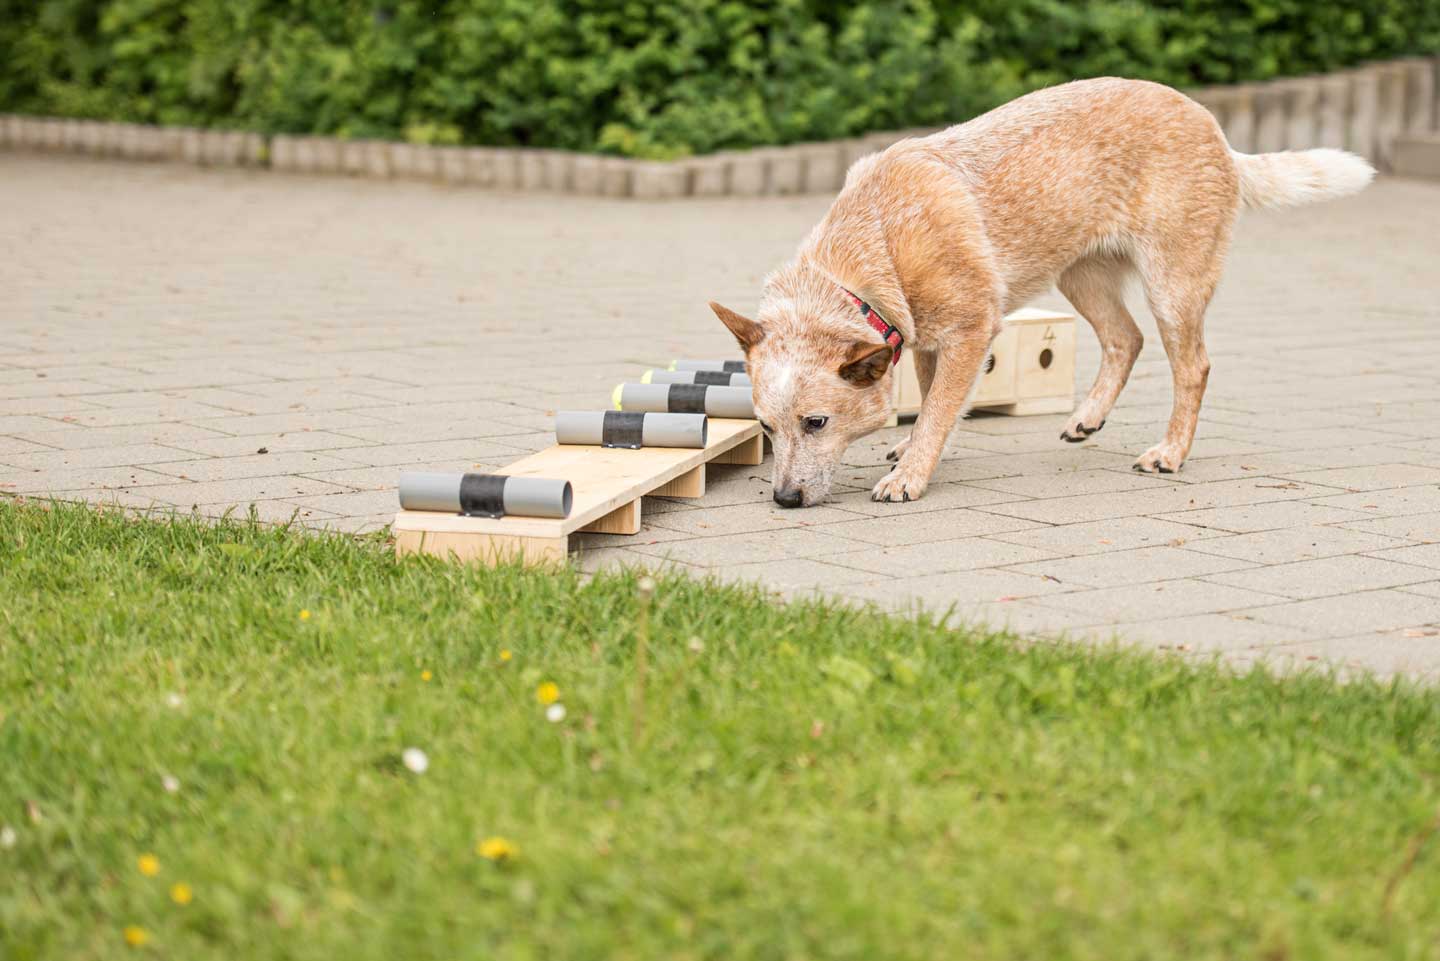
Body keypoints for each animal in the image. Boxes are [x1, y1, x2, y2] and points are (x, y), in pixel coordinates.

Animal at [708, 78, 1370, 507]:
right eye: (765, 427)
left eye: (816, 423)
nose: (784, 498)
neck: (874, 251)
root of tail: (1214, 128)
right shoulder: (927, 339)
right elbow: (933, 400)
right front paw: (914, 448)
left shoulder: (972, 330)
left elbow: (941, 407)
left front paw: (910, 475)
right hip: (1080, 275)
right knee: (1125, 339)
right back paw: (1087, 419)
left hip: (1171, 284)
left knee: (1193, 366)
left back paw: (1170, 452)